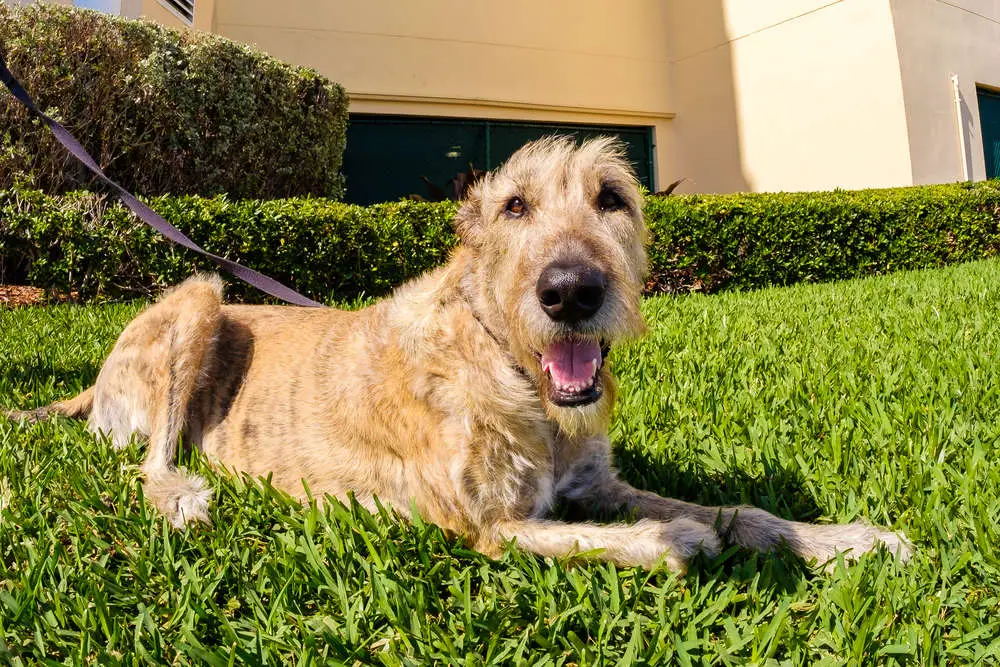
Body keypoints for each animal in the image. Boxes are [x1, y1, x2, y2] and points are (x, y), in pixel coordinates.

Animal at [7, 138, 916, 572]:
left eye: (612, 198)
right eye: (514, 206)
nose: (570, 292)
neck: (507, 366)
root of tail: (90, 383)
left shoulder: (595, 482)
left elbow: (740, 510)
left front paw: (847, 539)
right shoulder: (486, 523)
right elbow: (632, 536)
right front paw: (674, 540)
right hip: (195, 298)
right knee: (146, 461)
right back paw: (183, 494)